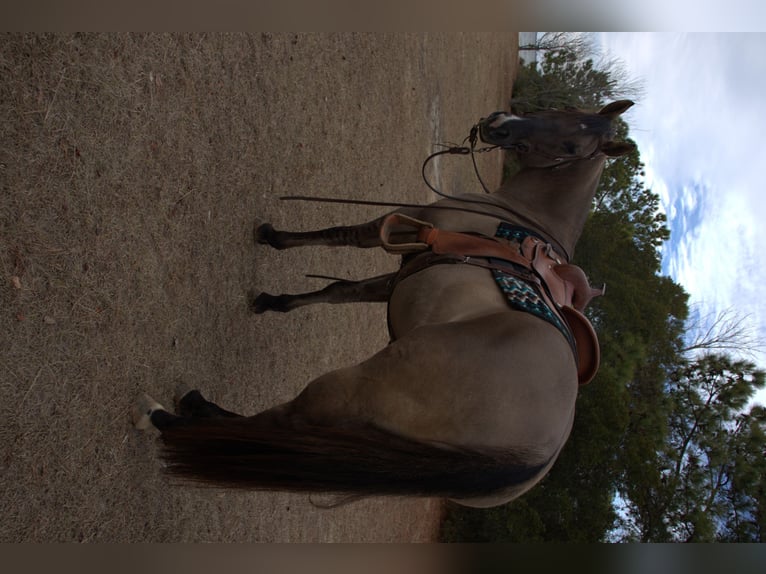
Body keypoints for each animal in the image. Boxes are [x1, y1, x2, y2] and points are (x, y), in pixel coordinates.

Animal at [134, 100, 635, 508]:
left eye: (572, 143)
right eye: (567, 109)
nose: (500, 124)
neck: (516, 217)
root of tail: (537, 455)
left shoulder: (403, 224)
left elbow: (341, 235)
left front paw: (273, 237)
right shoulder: (405, 267)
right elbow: (340, 291)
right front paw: (275, 301)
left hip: (344, 391)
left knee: (276, 423)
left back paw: (172, 416)